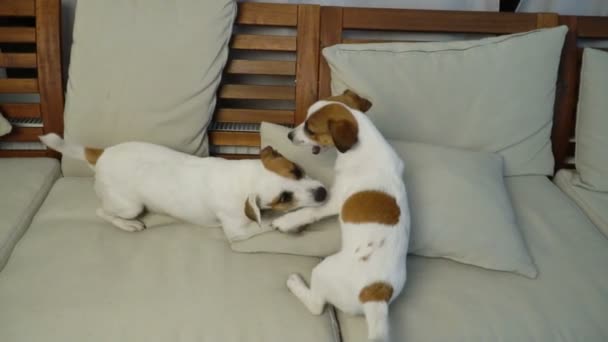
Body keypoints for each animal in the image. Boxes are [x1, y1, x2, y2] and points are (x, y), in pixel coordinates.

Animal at [38, 132, 328, 239]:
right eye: (283, 198)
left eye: (297, 170)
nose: (323, 192)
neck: (242, 178)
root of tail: (101, 154)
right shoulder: (237, 229)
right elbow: (267, 223)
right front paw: (293, 222)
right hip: (129, 206)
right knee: (102, 212)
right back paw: (128, 225)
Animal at [270, 89, 408, 340]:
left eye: (310, 129)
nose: (289, 135)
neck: (366, 144)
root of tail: (375, 293)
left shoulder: (334, 201)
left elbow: (310, 211)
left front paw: (286, 221)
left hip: (323, 270)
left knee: (316, 305)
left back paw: (296, 284)